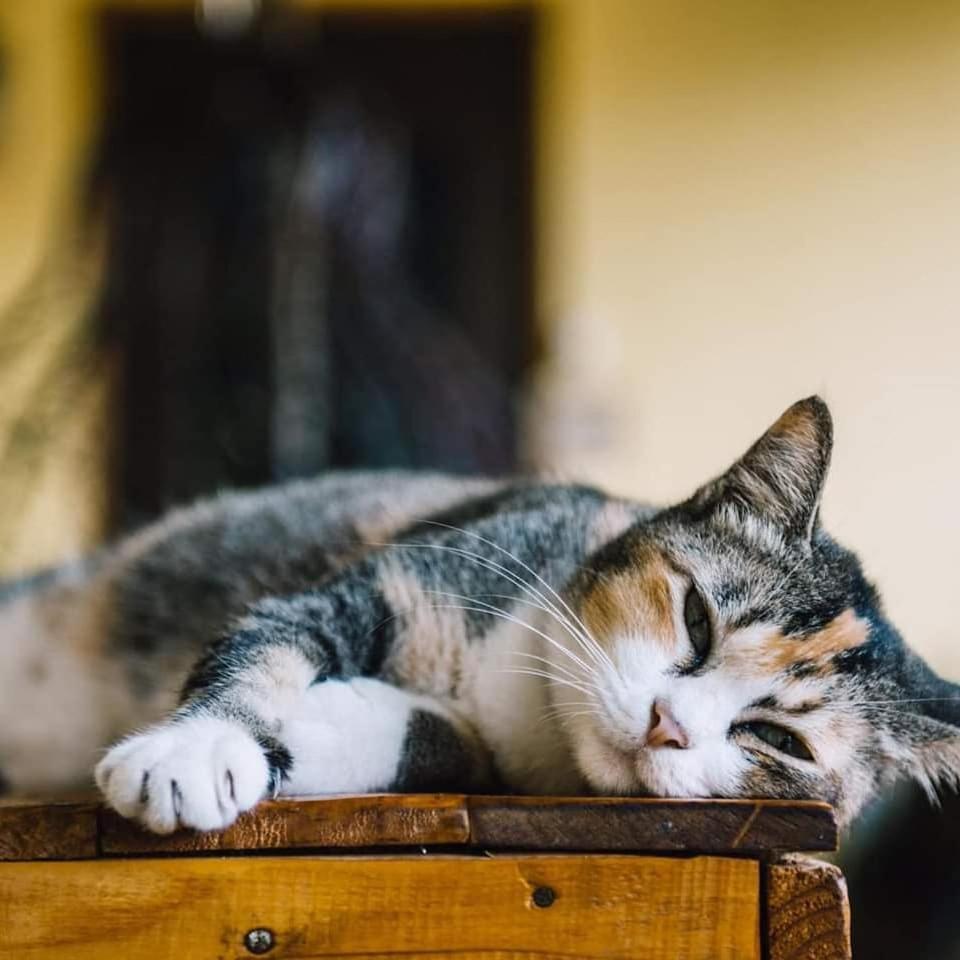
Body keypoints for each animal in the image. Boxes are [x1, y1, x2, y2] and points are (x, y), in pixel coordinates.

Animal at [1, 398, 960, 832]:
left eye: (778, 740)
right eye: (696, 618)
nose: (667, 725)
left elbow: (445, 743)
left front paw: (319, 729)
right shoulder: (408, 572)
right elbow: (274, 637)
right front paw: (198, 748)